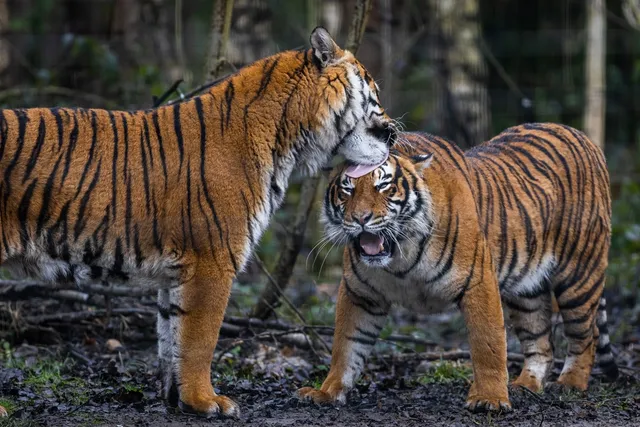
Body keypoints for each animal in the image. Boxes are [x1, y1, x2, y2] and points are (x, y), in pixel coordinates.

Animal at [0, 27, 397, 418]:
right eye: (373, 94)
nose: (393, 133)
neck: (288, 140)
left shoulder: (176, 272)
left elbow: (171, 337)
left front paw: (178, 400)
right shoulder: (212, 260)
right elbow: (199, 340)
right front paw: (206, 401)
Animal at [297, 124, 618, 412]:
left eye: (383, 186)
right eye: (347, 190)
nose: (361, 219)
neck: (401, 255)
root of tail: (582, 137)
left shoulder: (478, 281)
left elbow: (488, 344)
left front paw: (490, 399)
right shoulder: (360, 293)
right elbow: (346, 345)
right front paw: (326, 392)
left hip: (579, 275)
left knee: (585, 335)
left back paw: (570, 383)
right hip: (527, 290)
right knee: (541, 342)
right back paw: (525, 385)